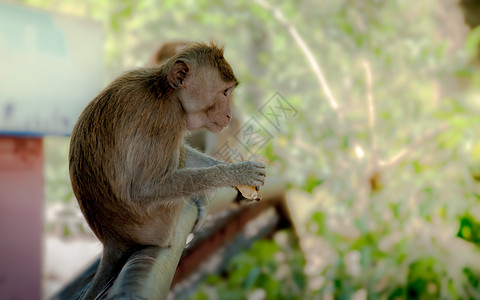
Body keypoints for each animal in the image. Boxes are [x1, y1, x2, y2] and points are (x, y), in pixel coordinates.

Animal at [68, 41, 266, 298]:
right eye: (225, 92)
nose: (229, 115)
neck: (165, 92)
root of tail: (112, 239)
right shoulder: (164, 120)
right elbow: (143, 189)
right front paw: (239, 173)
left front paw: (233, 172)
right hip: (157, 223)